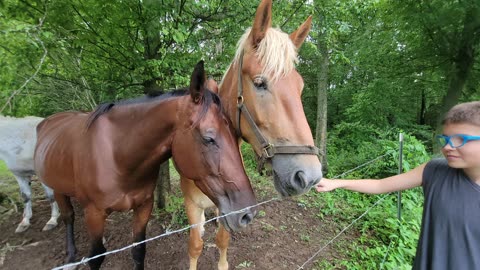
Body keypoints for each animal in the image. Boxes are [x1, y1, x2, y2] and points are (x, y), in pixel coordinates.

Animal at [34, 61, 258, 270]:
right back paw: (71, 256)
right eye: (209, 138)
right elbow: (96, 257)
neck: (117, 157)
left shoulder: (144, 206)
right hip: (58, 188)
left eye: (236, 135)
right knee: (68, 217)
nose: (247, 214)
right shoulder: (94, 213)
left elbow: (139, 250)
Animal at [180, 0, 322, 270]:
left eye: (300, 88)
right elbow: (194, 245)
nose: (309, 176)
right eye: (259, 83)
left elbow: (223, 239)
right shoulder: (192, 206)